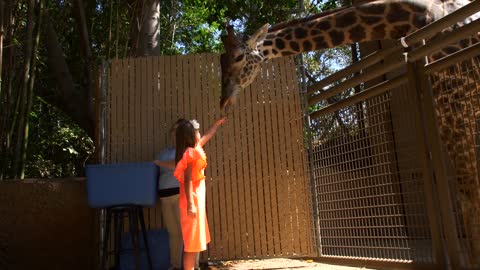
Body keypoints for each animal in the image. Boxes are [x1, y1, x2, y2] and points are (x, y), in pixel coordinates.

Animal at [220, 0, 480, 266]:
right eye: (220, 61)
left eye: (238, 57)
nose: (223, 102)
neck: (422, 16)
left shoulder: (455, 95)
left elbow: (469, 192)